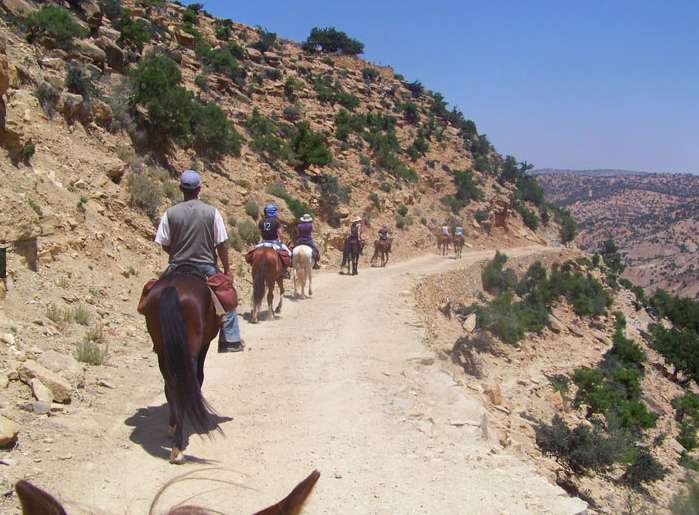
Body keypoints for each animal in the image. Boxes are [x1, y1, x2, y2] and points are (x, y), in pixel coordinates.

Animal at [138, 272, 223, 466]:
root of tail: (172, 288)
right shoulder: (205, 345)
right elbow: (199, 377)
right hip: (191, 346)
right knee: (185, 382)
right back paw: (178, 447)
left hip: (162, 348)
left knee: (170, 384)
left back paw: (174, 432)